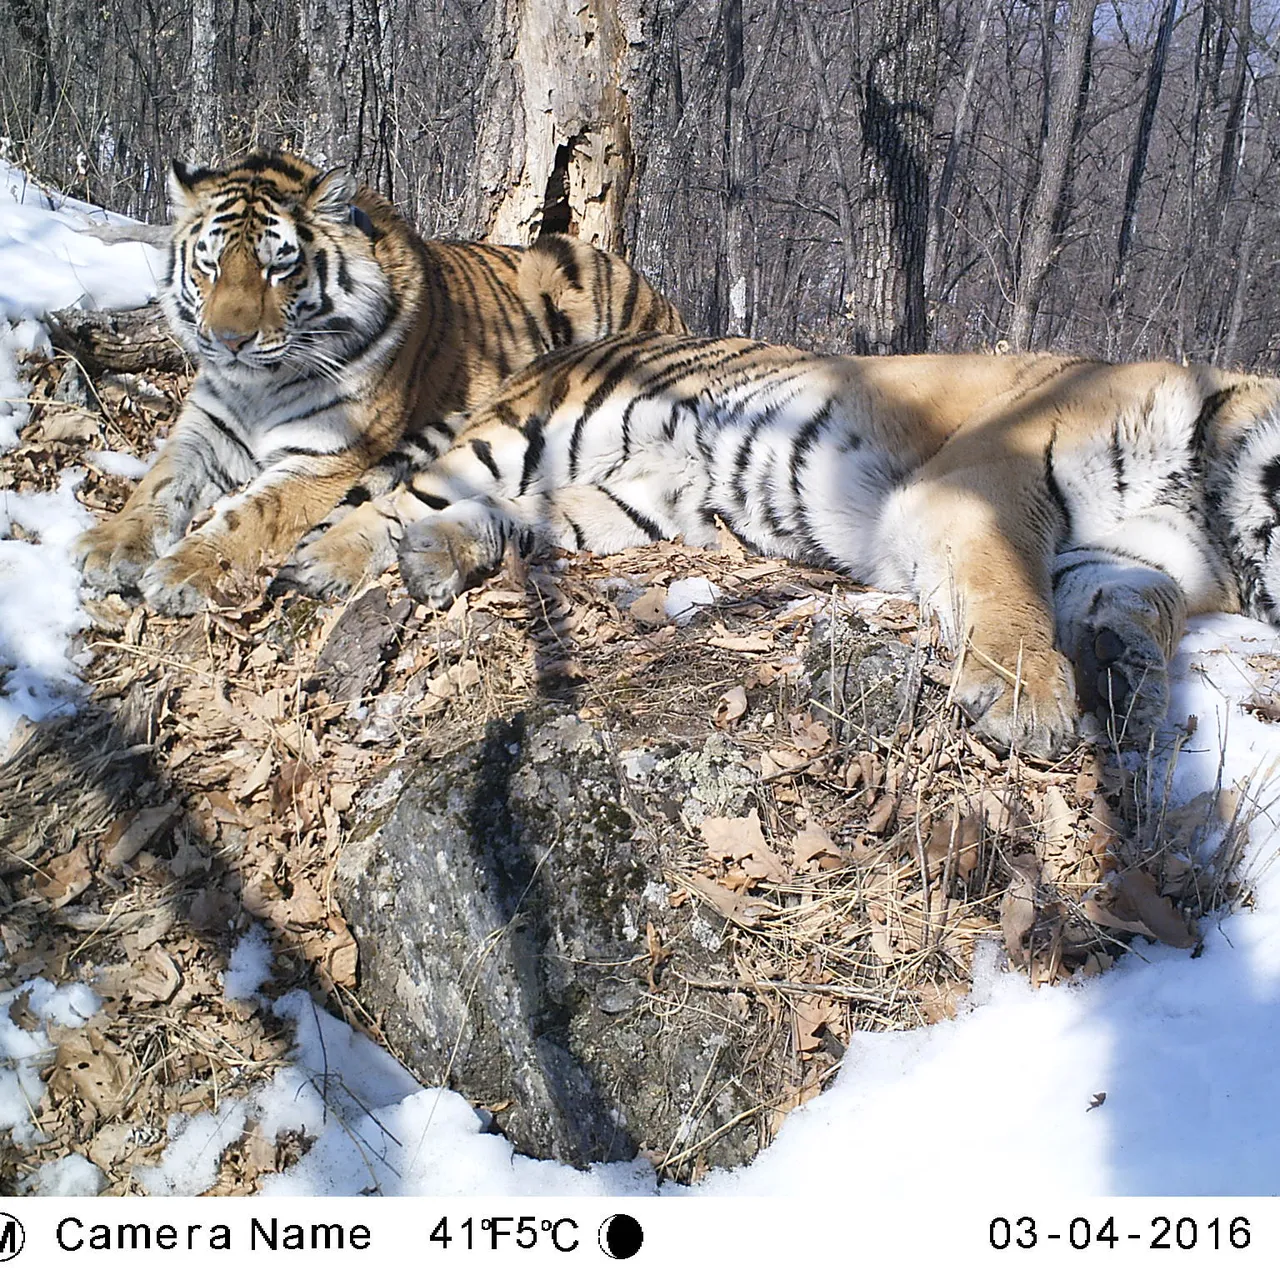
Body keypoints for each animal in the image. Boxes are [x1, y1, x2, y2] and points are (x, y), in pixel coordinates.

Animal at [72, 150, 686, 614]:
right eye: (210, 265)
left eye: (278, 267)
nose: (228, 340)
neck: (258, 385)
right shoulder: (205, 429)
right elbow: (157, 484)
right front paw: (108, 547)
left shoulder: (327, 458)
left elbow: (250, 515)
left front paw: (182, 571)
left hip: (559, 269)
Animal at [302, 330, 1280, 760]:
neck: (1207, 500)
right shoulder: (989, 484)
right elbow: (1012, 589)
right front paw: (1027, 699)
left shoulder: (1127, 558)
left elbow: (1142, 604)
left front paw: (1129, 677)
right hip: (543, 430)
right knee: (400, 493)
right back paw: (326, 564)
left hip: (629, 504)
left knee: (504, 515)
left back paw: (439, 554)